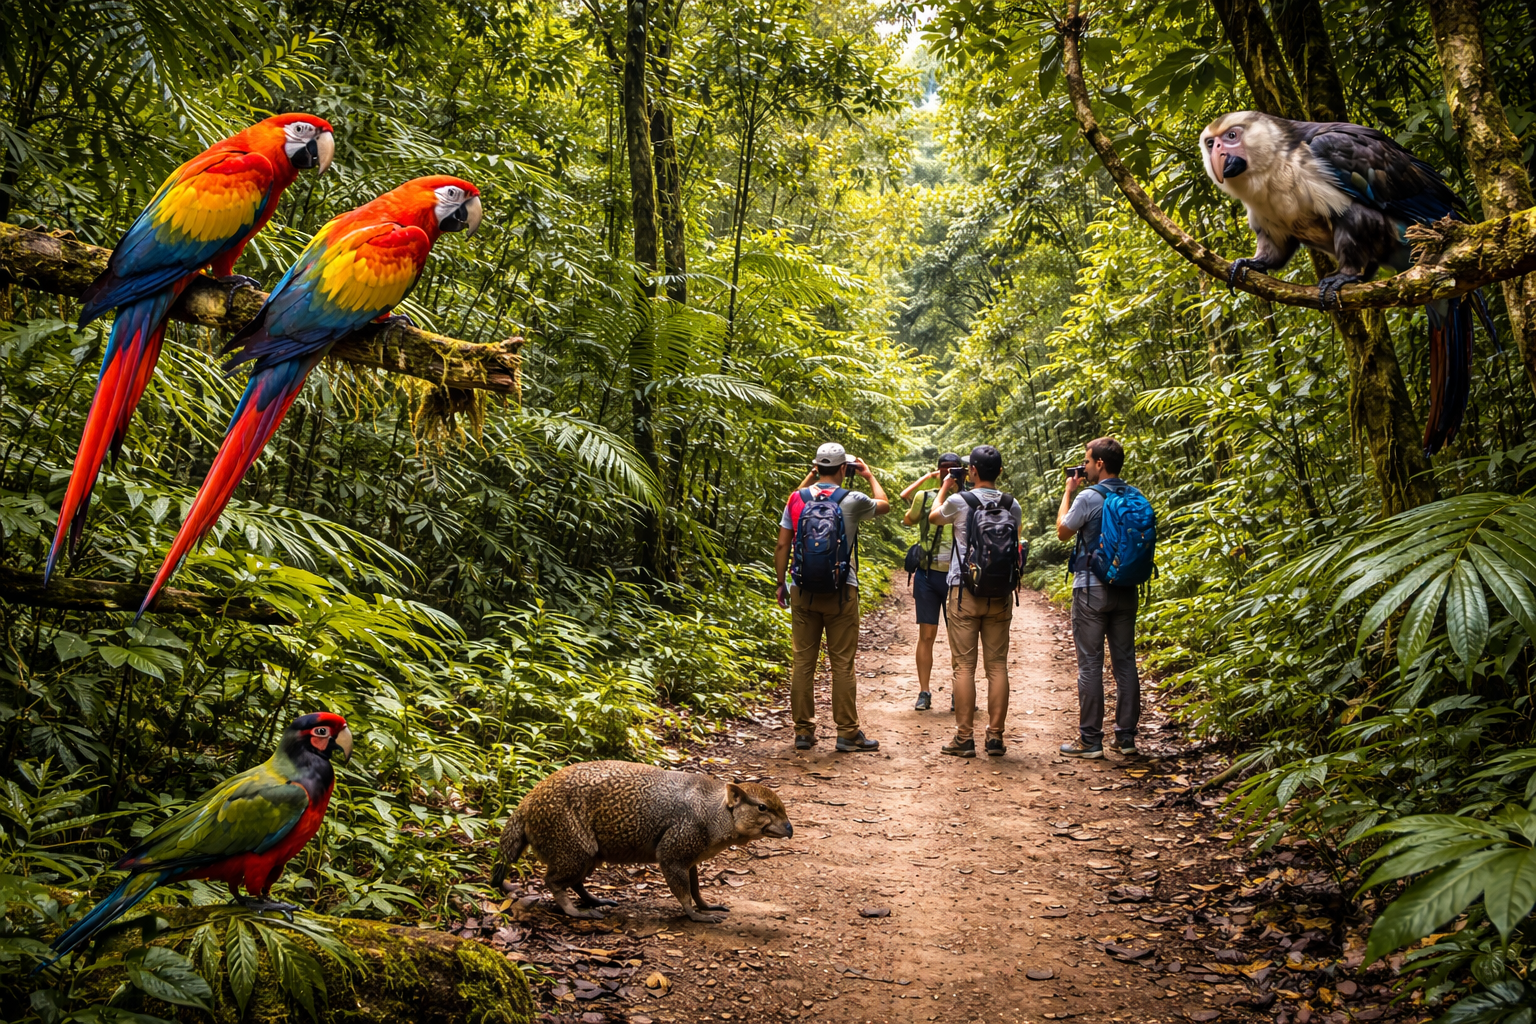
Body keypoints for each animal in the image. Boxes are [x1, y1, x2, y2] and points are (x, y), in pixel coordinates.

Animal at [490, 761, 793, 923]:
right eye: (763, 808)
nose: (790, 829)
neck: (712, 812)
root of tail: (526, 803)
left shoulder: (691, 859)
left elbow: (696, 890)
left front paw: (707, 906)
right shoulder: (671, 854)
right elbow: (684, 895)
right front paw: (696, 915)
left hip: (589, 856)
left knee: (574, 883)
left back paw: (595, 901)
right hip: (575, 850)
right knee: (551, 881)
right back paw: (575, 911)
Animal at [1199, 110, 1495, 456]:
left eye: (1231, 136)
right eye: (1210, 143)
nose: (1218, 155)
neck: (1273, 165)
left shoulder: (1336, 166)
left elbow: (1354, 238)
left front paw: (1344, 276)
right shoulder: (1270, 223)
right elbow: (1273, 253)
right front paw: (1249, 263)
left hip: (1434, 214)